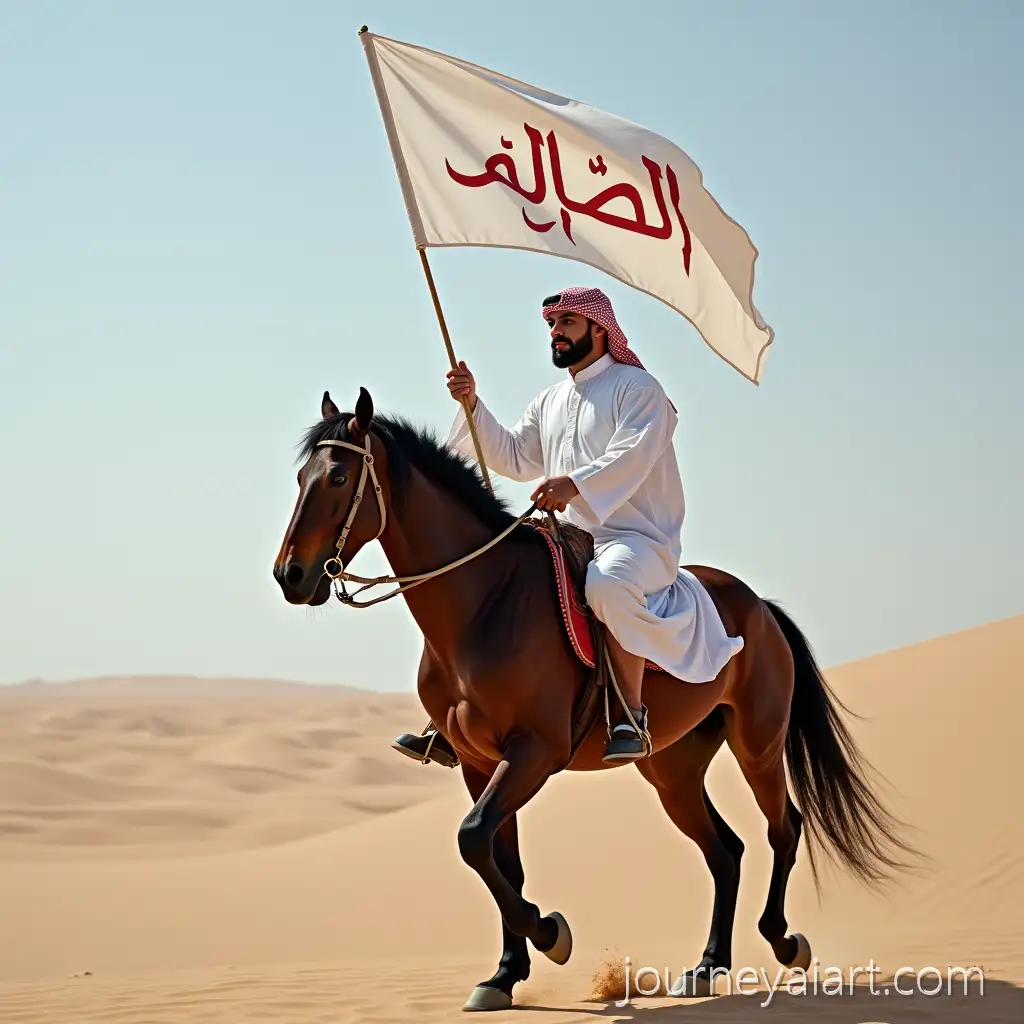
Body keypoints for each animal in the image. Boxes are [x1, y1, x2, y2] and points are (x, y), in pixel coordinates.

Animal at [272, 387, 913, 1011]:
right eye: (301, 476)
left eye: (336, 477)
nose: (291, 575)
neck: (484, 604)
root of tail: (759, 605)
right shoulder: (480, 763)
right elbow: (496, 857)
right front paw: (505, 974)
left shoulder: (534, 752)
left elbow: (473, 839)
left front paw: (550, 933)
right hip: (672, 770)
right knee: (724, 850)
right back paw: (708, 965)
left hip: (757, 743)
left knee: (783, 828)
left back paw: (783, 942)